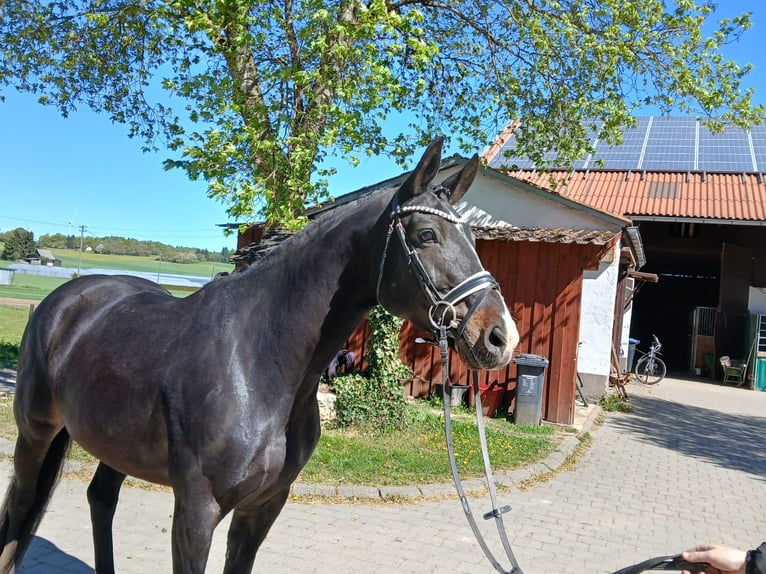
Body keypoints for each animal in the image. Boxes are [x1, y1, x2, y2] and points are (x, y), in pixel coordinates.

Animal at [0, 137, 519, 573]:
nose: (501, 337)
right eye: (427, 234)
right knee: (21, 506)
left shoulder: (263, 507)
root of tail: (63, 300)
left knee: (100, 500)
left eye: (476, 241)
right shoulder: (197, 512)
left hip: (115, 442)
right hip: (35, 434)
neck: (256, 362)